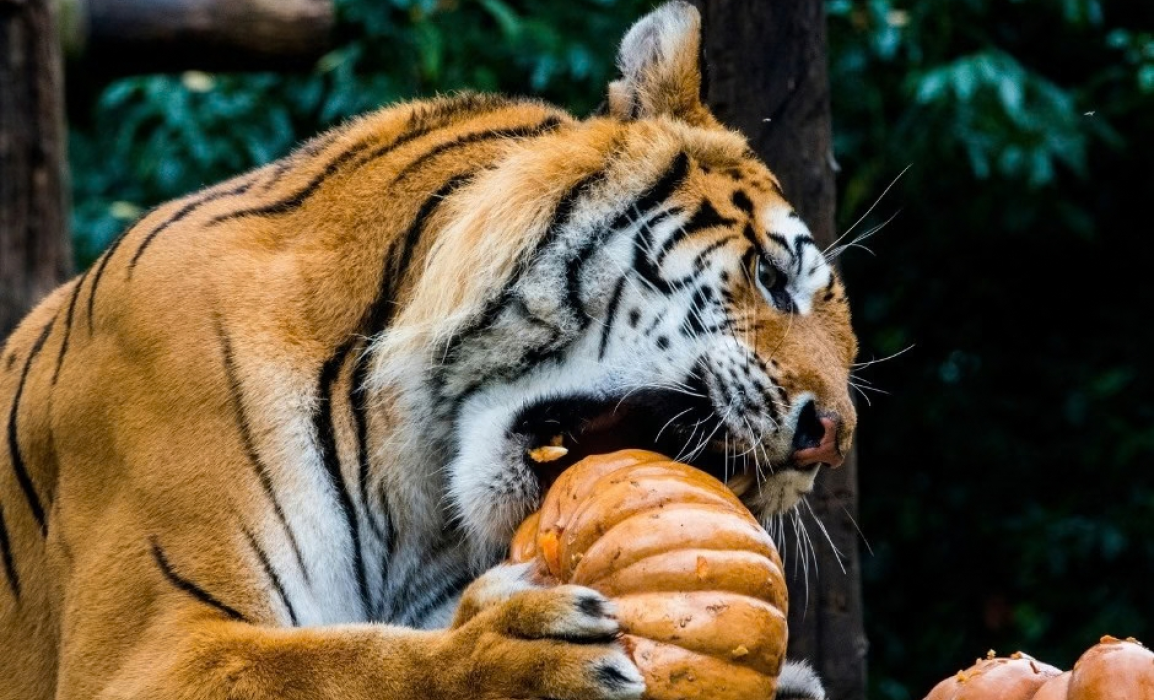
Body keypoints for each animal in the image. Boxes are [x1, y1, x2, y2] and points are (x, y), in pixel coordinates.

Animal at [0, 2, 855, 699]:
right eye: (774, 279)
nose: (833, 438)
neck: (404, 476)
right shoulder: (145, 652)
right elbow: (341, 663)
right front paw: (513, 653)